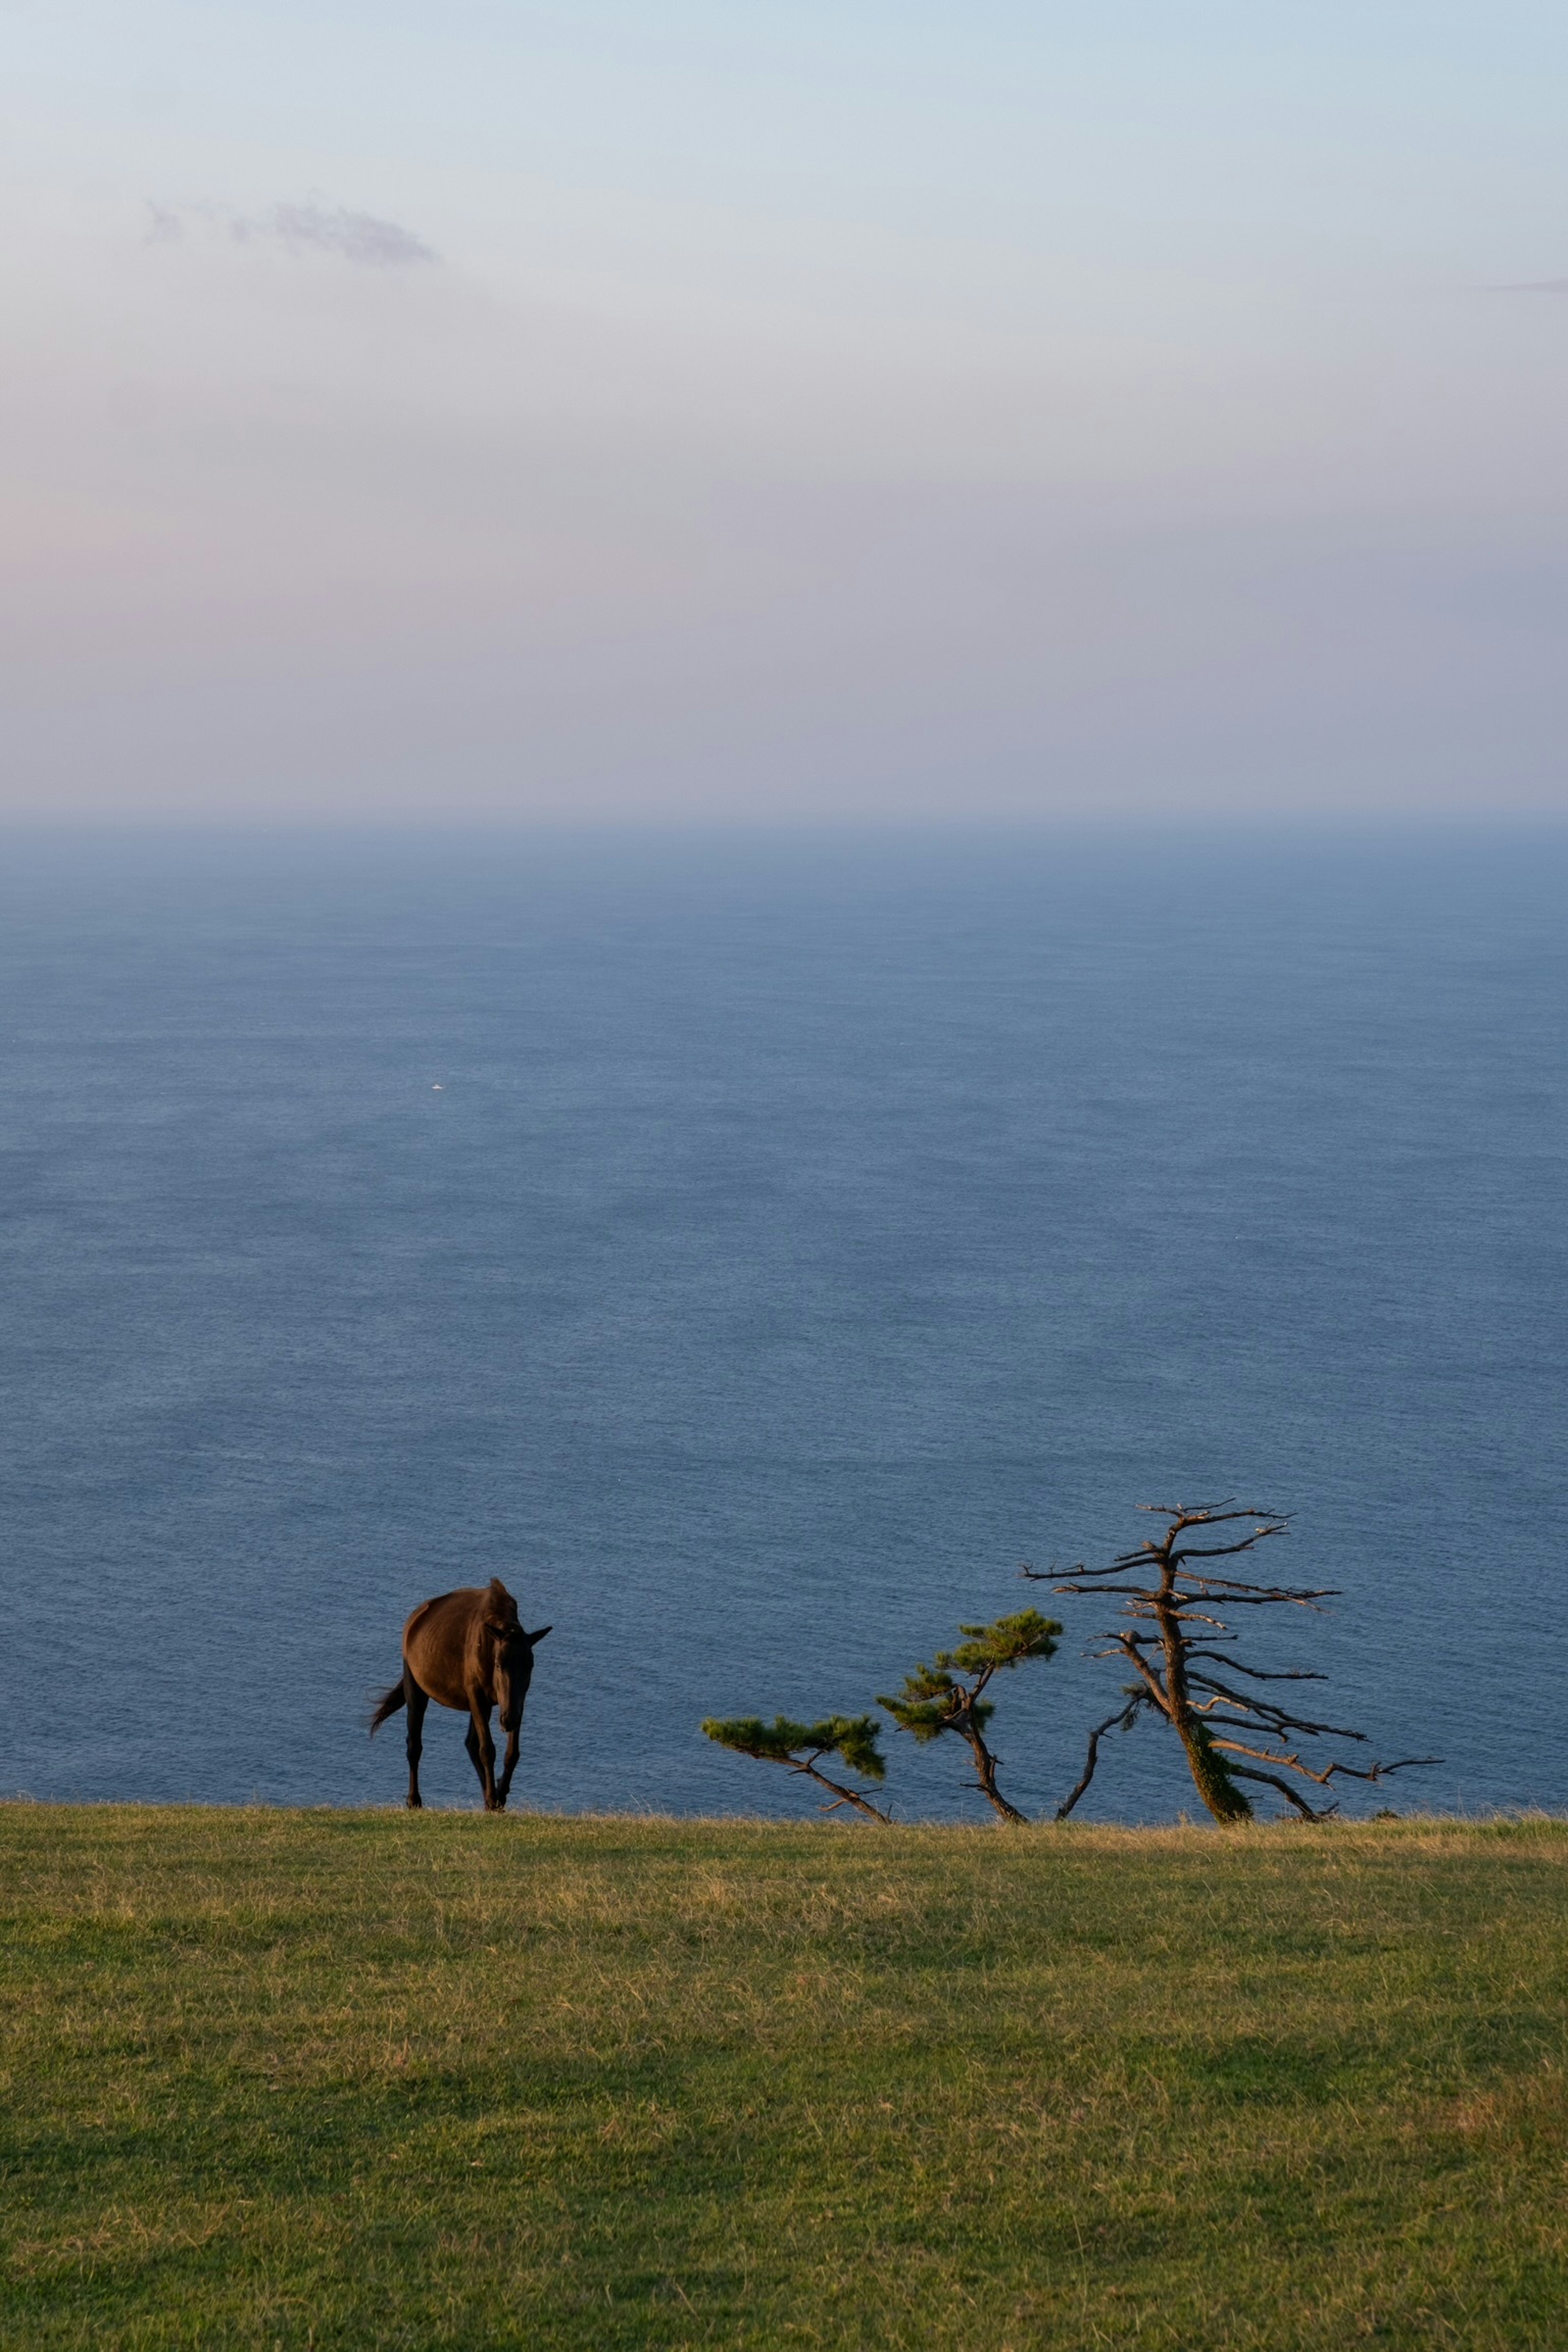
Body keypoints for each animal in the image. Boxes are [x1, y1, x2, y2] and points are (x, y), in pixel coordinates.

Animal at [374, 1590, 555, 1806]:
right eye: (499, 1665)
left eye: (529, 1666)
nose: (507, 1720)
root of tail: (413, 1620)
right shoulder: (477, 1696)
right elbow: (487, 1750)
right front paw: (494, 1797)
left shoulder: (516, 1701)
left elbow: (512, 1753)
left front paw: (500, 1794)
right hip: (416, 1688)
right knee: (414, 1745)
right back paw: (414, 1800)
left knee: (470, 1743)